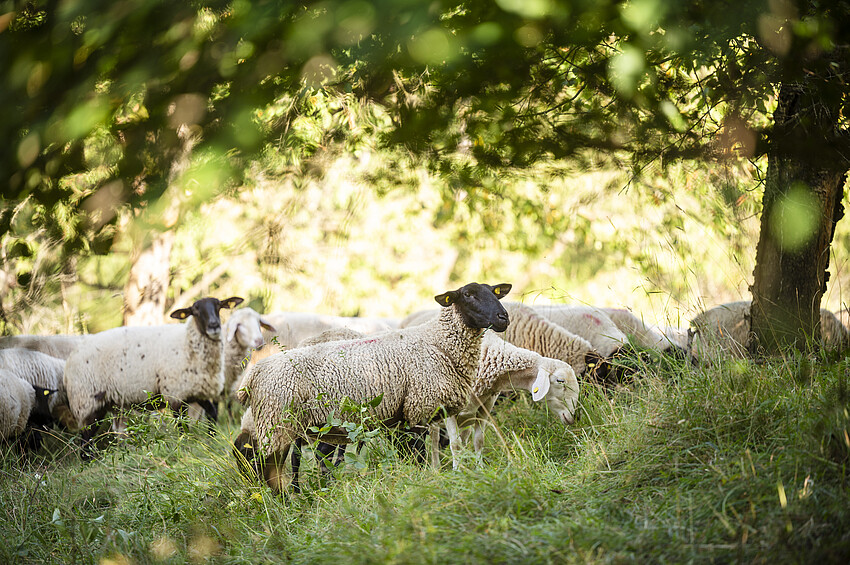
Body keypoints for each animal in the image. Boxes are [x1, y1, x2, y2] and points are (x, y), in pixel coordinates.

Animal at [63, 296, 243, 452]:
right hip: (87, 403)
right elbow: (181, 425)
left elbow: (212, 413)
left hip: (109, 404)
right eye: (195, 311)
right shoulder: (175, 394)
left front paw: (211, 439)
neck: (187, 344)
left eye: (219, 306)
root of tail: (70, 360)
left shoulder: (196, 391)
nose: (214, 325)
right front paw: (185, 446)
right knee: (85, 443)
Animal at [234, 282, 511, 492]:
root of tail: (253, 375)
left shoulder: (416, 413)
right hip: (276, 425)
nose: (503, 317)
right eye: (468, 295)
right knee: (270, 467)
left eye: (494, 292)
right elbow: (419, 456)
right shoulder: (417, 409)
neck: (437, 341)